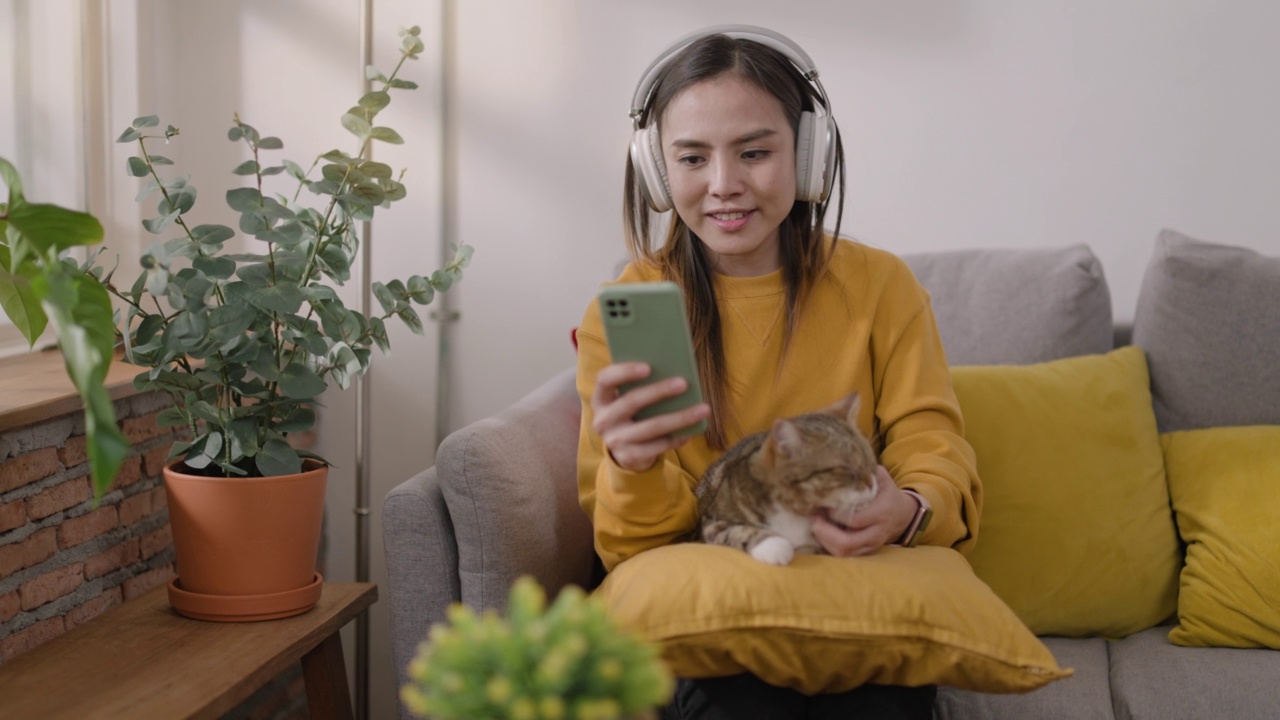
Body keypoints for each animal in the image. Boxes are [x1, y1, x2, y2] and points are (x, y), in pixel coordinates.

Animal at [691, 392, 880, 566]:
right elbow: (735, 531)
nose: (873, 484)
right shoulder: (711, 521)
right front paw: (774, 545)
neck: (794, 512)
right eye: (846, 469)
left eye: (871, 463)